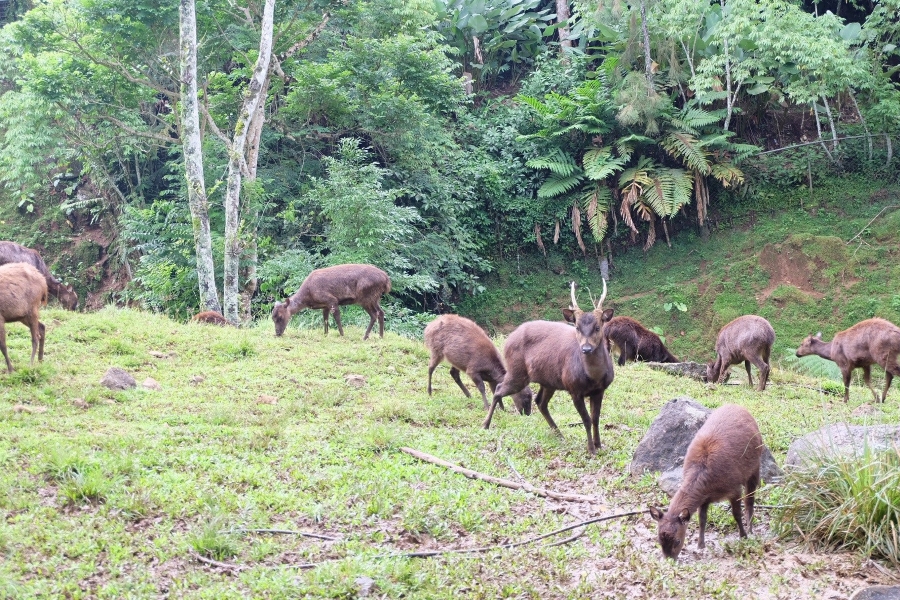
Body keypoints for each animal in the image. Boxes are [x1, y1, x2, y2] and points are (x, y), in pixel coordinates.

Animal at [486, 280, 620, 454]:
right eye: (577, 327)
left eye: (598, 327)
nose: (586, 349)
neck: (593, 377)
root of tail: (508, 338)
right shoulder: (574, 389)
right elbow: (586, 420)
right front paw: (591, 449)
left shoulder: (600, 390)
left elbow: (596, 418)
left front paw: (599, 445)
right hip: (517, 371)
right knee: (499, 389)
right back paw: (485, 424)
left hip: (548, 381)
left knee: (540, 402)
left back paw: (559, 434)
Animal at [652, 400, 764, 560]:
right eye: (659, 540)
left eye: (677, 541)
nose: (670, 560)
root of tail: (740, 407)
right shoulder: (704, 499)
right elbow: (702, 519)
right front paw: (700, 545)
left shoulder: (734, 488)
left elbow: (736, 514)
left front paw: (743, 536)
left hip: (755, 466)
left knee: (749, 500)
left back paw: (750, 529)